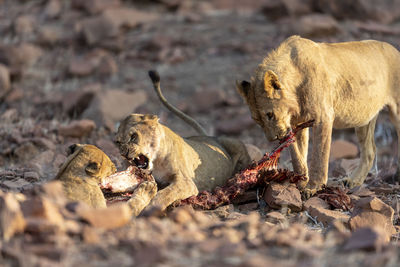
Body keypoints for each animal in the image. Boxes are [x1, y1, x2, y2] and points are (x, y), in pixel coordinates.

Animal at [114, 70, 252, 214]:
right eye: (117, 142)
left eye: (133, 137)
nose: (124, 154)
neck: (155, 162)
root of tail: (209, 137)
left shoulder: (186, 182)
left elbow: (165, 194)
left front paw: (151, 207)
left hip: (233, 142)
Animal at [236, 35, 400, 197]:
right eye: (257, 121)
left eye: (270, 115)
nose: (273, 139)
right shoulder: (297, 123)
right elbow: (297, 154)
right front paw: (301, 180)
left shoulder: (323, 117)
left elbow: (319, 155)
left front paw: (313, 187)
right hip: (364, 119)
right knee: (370, 150)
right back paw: (353, 181)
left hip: (396, 111)